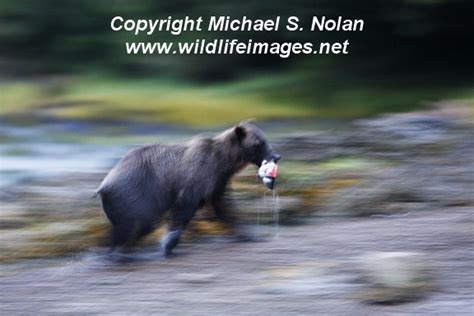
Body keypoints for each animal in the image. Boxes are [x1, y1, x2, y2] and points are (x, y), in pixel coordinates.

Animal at [97, 122, 280, 256]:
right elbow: (185, 205)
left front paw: (248, 234)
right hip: (135, 192)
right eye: (259, 142)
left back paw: (120, 247)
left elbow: (224, 207)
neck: (224, 161)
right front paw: (168, 243)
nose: (276, 156)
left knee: (131, 225)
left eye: (264, 139)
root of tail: (104, 185)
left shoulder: (218, 181)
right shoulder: (198, 175)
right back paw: (121, 249)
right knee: (136, 223)